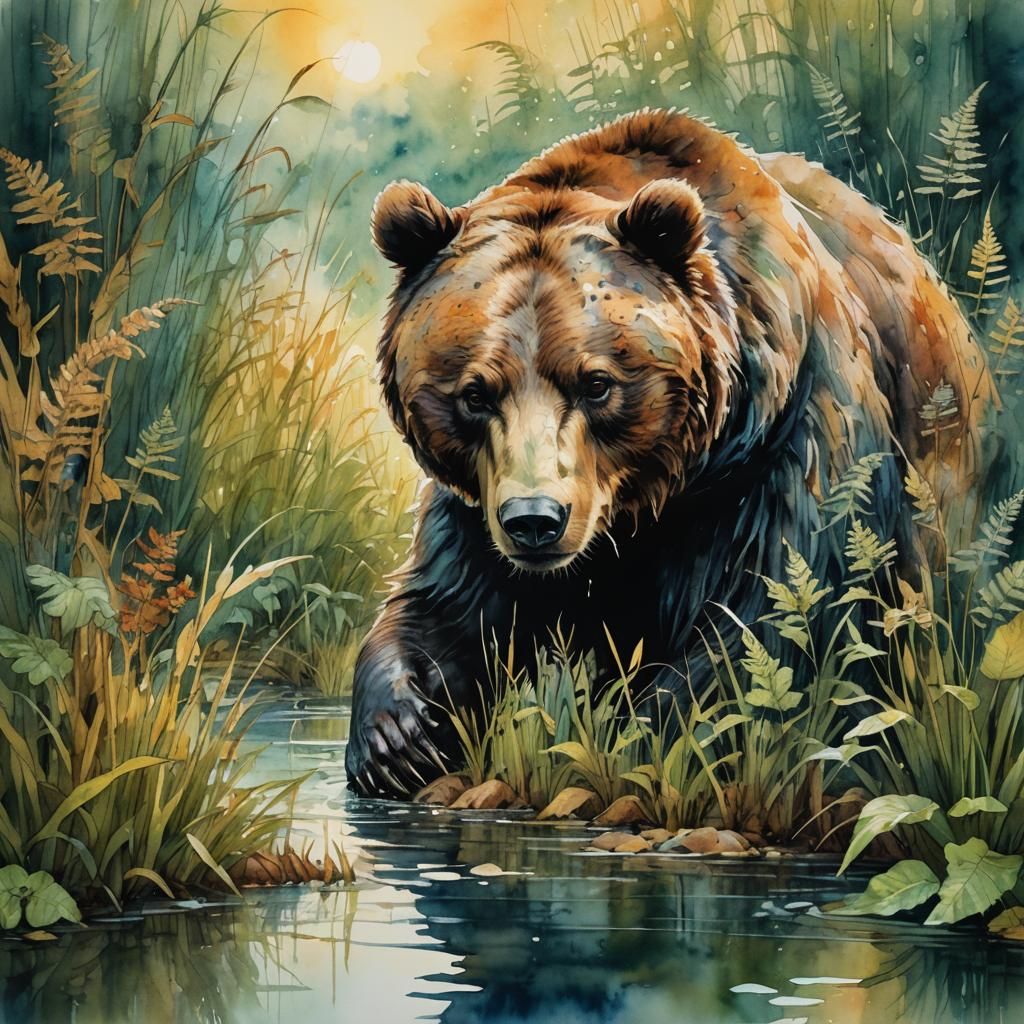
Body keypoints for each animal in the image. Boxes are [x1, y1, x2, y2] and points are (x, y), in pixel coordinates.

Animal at [345, 108, 992, 797]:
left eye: (596, 382)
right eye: (475, 393)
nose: (534, 521)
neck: (659, 492)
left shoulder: (787, 451)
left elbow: (767, 624)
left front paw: (632, 739)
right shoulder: (478, 505)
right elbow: (450, 607)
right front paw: (398, 735)